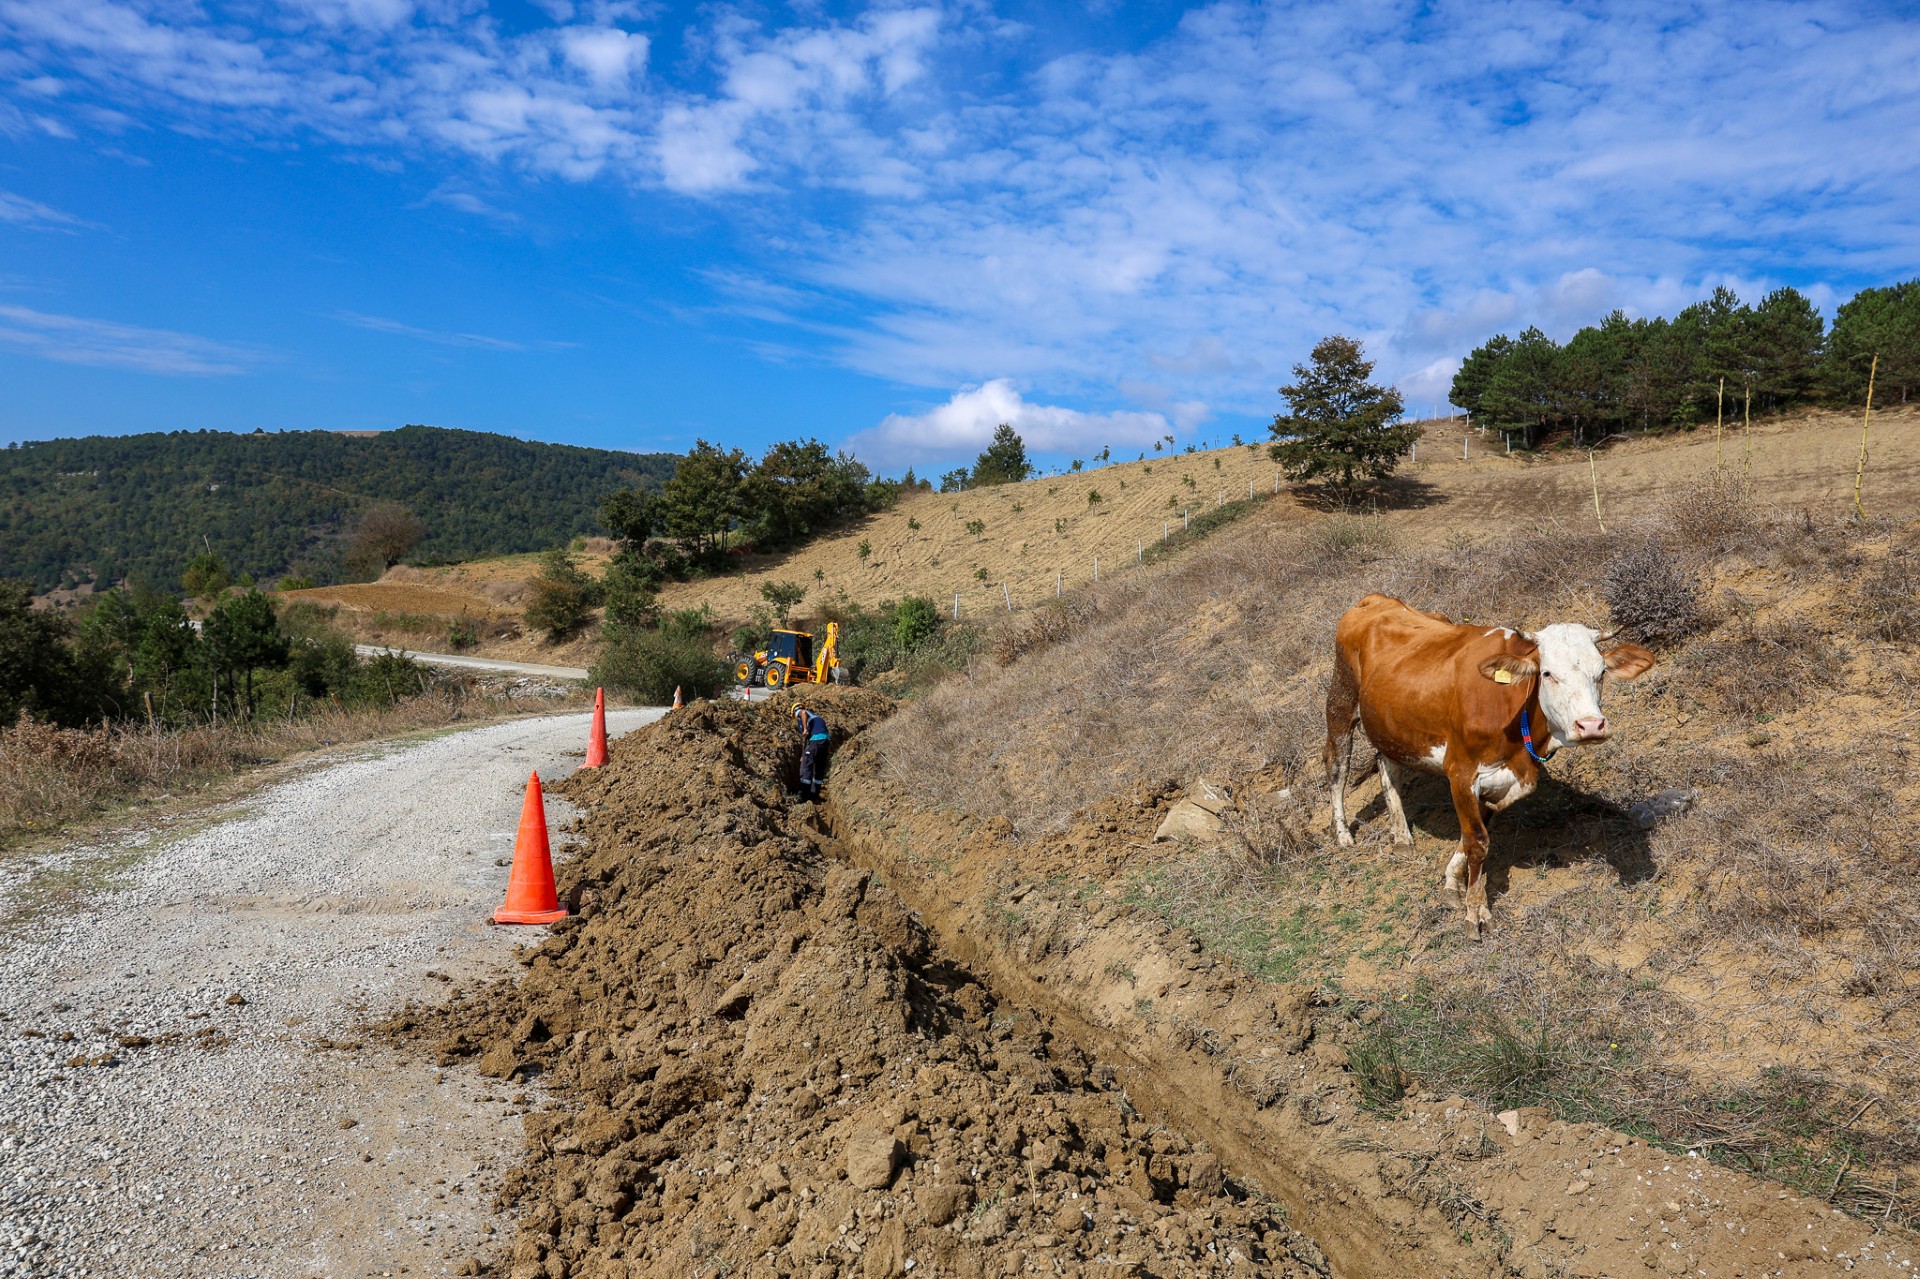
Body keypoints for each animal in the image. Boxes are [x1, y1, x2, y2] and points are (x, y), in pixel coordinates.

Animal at [1328, 591, 1658, 933]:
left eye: (1601, 673)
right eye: (1547, 673)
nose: (1591, 725)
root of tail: (1377, 599)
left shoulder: (1503, 781)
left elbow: (1472, 835)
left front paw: (1452, 883)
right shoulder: (1461, 773)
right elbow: (1477, 841)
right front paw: (1476, 910)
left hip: (1390, 725)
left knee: (1387, 764)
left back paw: (1401, 835)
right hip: (1341, 700)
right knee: (1337, 767)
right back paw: (1342, 834)